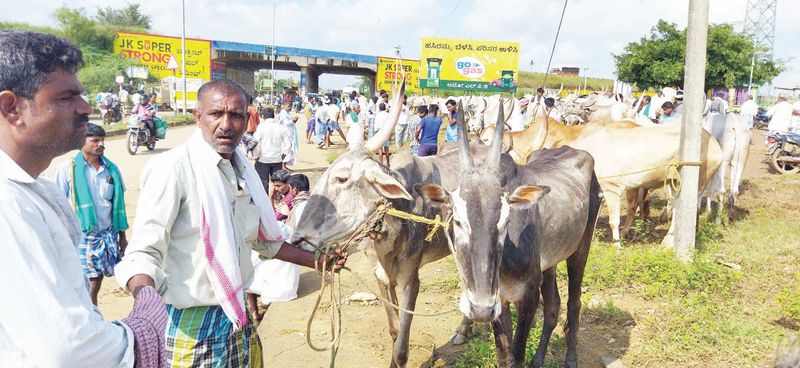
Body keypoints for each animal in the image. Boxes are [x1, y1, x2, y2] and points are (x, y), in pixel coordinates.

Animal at [418, 110, 600, 368]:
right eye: (458, 221)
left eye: (505, 221)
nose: (480, 310)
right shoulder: (499, 301)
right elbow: (504, 355)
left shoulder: (528, 297)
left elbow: (517, 356)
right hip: (549, 263)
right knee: (553, 305)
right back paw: (539, 359)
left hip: (581, 247)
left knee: (574, 303)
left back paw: (571, 358)